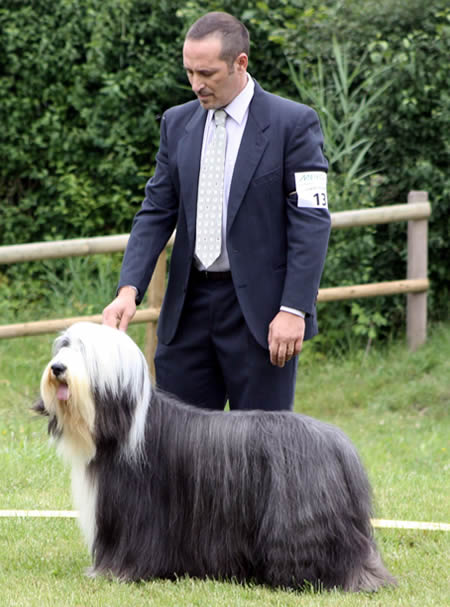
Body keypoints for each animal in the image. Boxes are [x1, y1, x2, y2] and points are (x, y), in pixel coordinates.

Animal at [33, 324, 396, 592]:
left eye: (84, 351)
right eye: (64, 346)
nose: (57, 368)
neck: (126, 422)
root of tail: (339, 444)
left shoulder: (135, 514)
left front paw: (117, 572)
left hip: (302, 524)